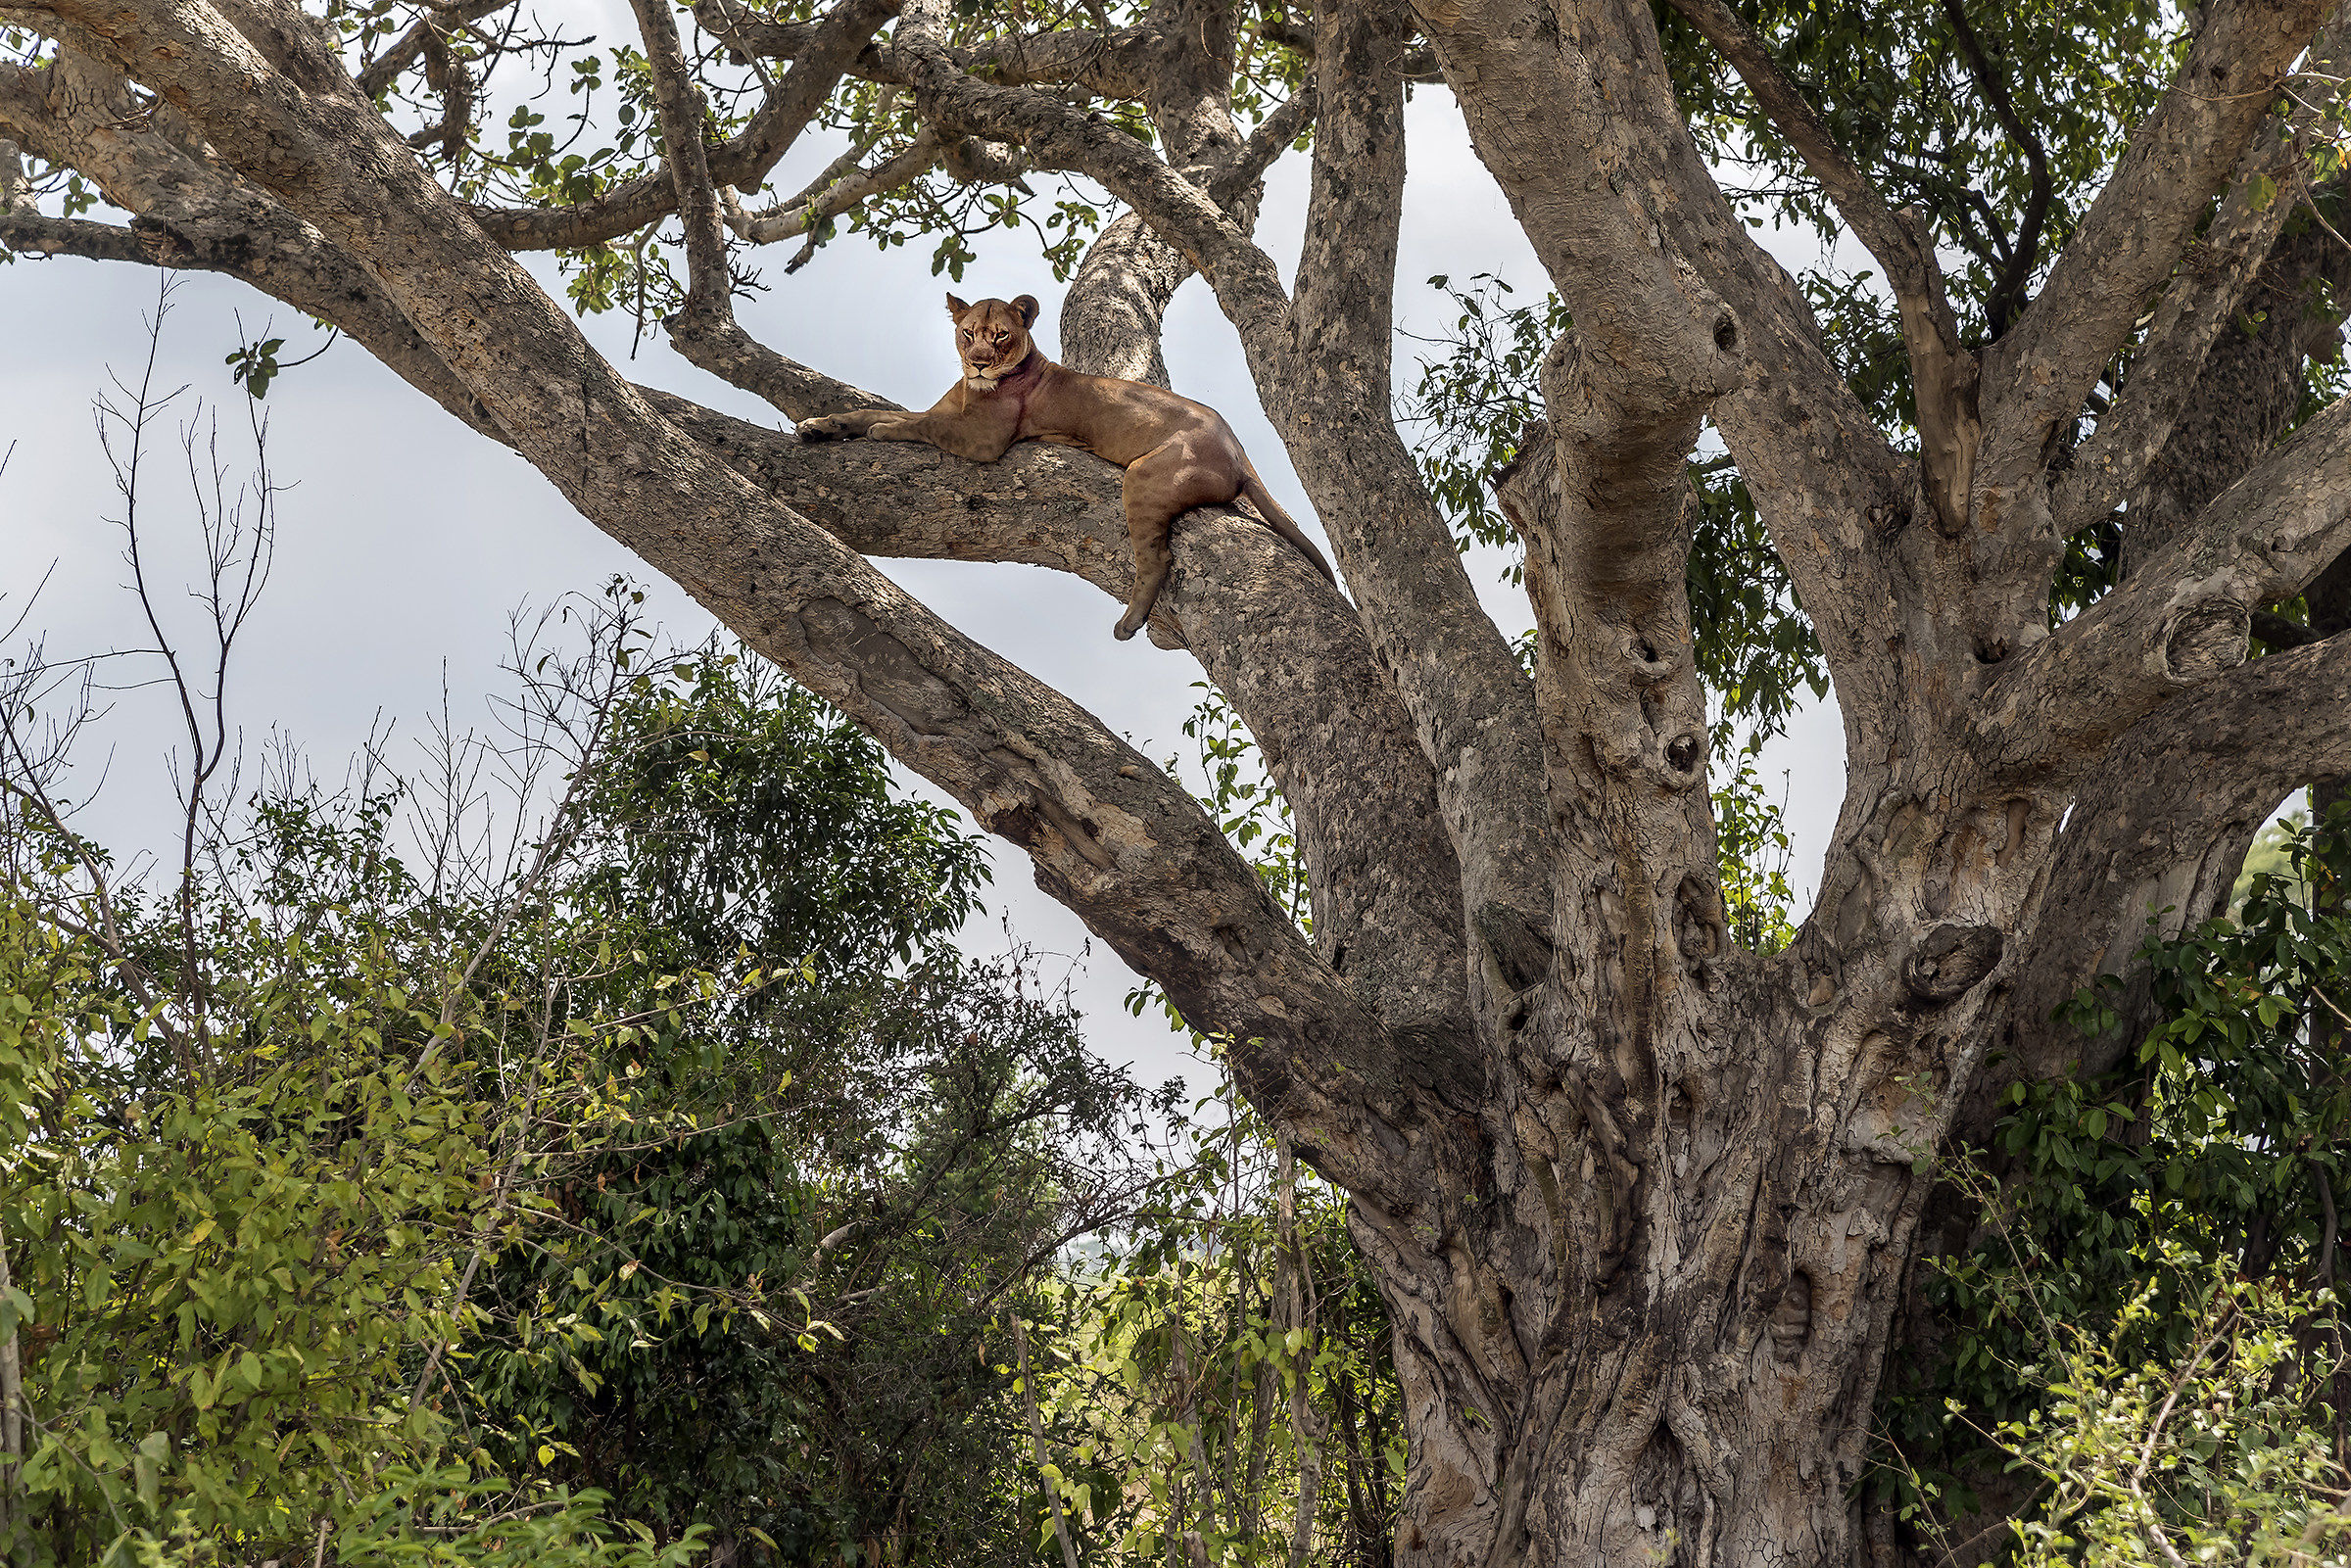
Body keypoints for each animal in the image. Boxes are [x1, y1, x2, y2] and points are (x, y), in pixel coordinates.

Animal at [795, 293, 1339, 641]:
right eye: (967, 333)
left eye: (1000, 336)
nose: (979, 362)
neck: (974, 387)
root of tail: (1238, 449)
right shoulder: (951, 413)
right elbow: (875, 411)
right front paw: (821, 426)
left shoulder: (983, 439)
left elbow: (916, 426)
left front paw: (878, 434)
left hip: (1145, 476)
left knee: (1157, 559)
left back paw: (1128, 624)